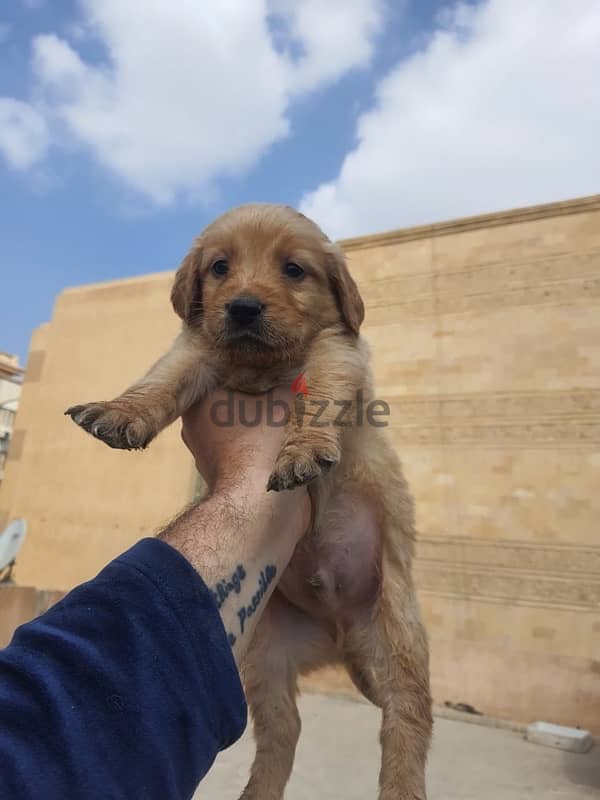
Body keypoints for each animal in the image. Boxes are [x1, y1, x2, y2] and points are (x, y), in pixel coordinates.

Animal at [67, 203, 432, 796]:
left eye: (294, 270)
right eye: (220, 267)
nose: (241, 307)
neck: (260, 367)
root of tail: (337, 636)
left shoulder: (338, 350)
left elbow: (319, 391)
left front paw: (302, 450)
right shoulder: (194, 349)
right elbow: (161, 378)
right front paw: (122, 412)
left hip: (398, 638)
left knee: (406, 723)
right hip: (266, 657)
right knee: (283, 732)